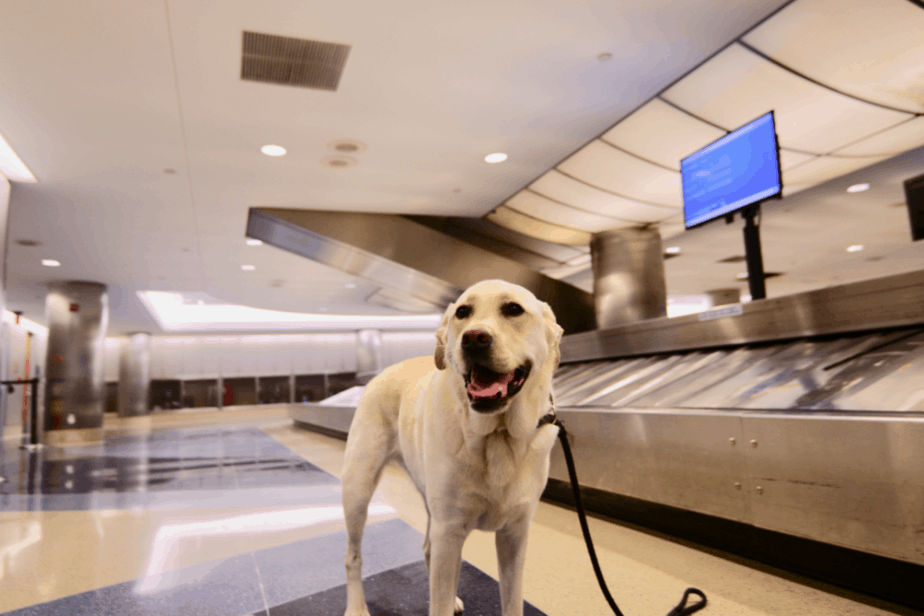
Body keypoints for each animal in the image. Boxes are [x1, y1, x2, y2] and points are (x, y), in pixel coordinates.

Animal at [342, 280, 564, 616]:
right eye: (463, 312)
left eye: (513, 309)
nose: (473, 338)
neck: (496, 434)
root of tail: (382, 372)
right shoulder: (449, 530)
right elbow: (439, 602)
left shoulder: (514, 535)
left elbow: (512, 601)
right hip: (358, 490)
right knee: (353, 558)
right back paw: (356, 607)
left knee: (427, 550)